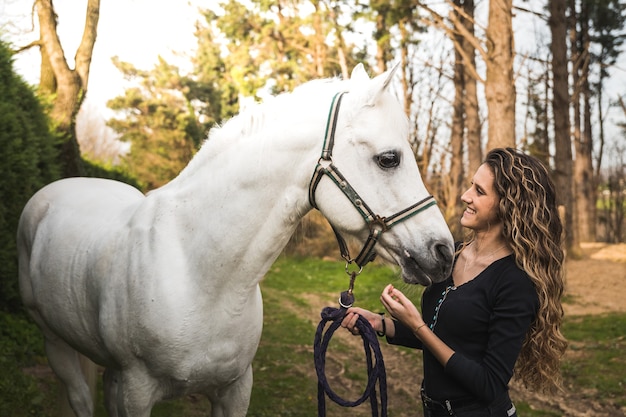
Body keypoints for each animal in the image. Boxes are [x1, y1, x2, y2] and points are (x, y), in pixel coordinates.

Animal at [17, 63, 450, 414]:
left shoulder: (235, 388)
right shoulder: (135, 390)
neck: (200, 276)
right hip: (55, 343)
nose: (443, 252)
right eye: (389, 158)